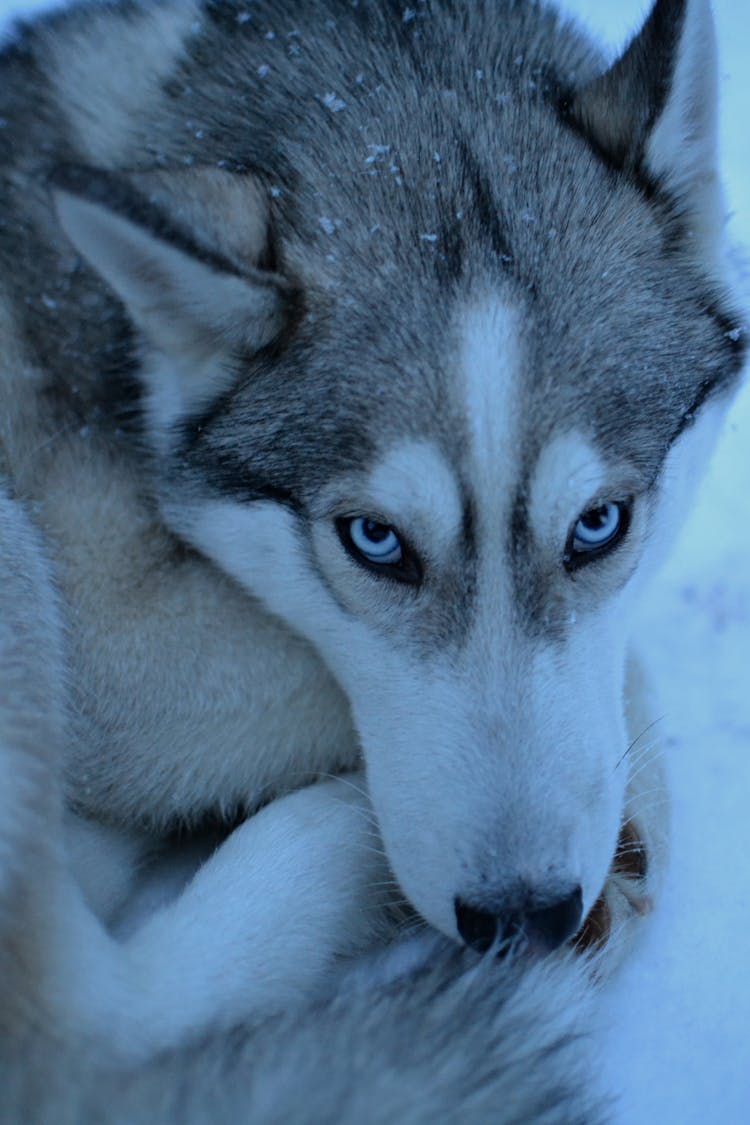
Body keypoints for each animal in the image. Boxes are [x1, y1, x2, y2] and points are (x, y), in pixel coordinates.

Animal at [0, 0, 742, 1116]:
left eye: (599, 524)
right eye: (376, 541)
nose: (523, 916)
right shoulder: (110, 630)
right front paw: (632, 794)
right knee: (98, 1014)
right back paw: (344, 841)